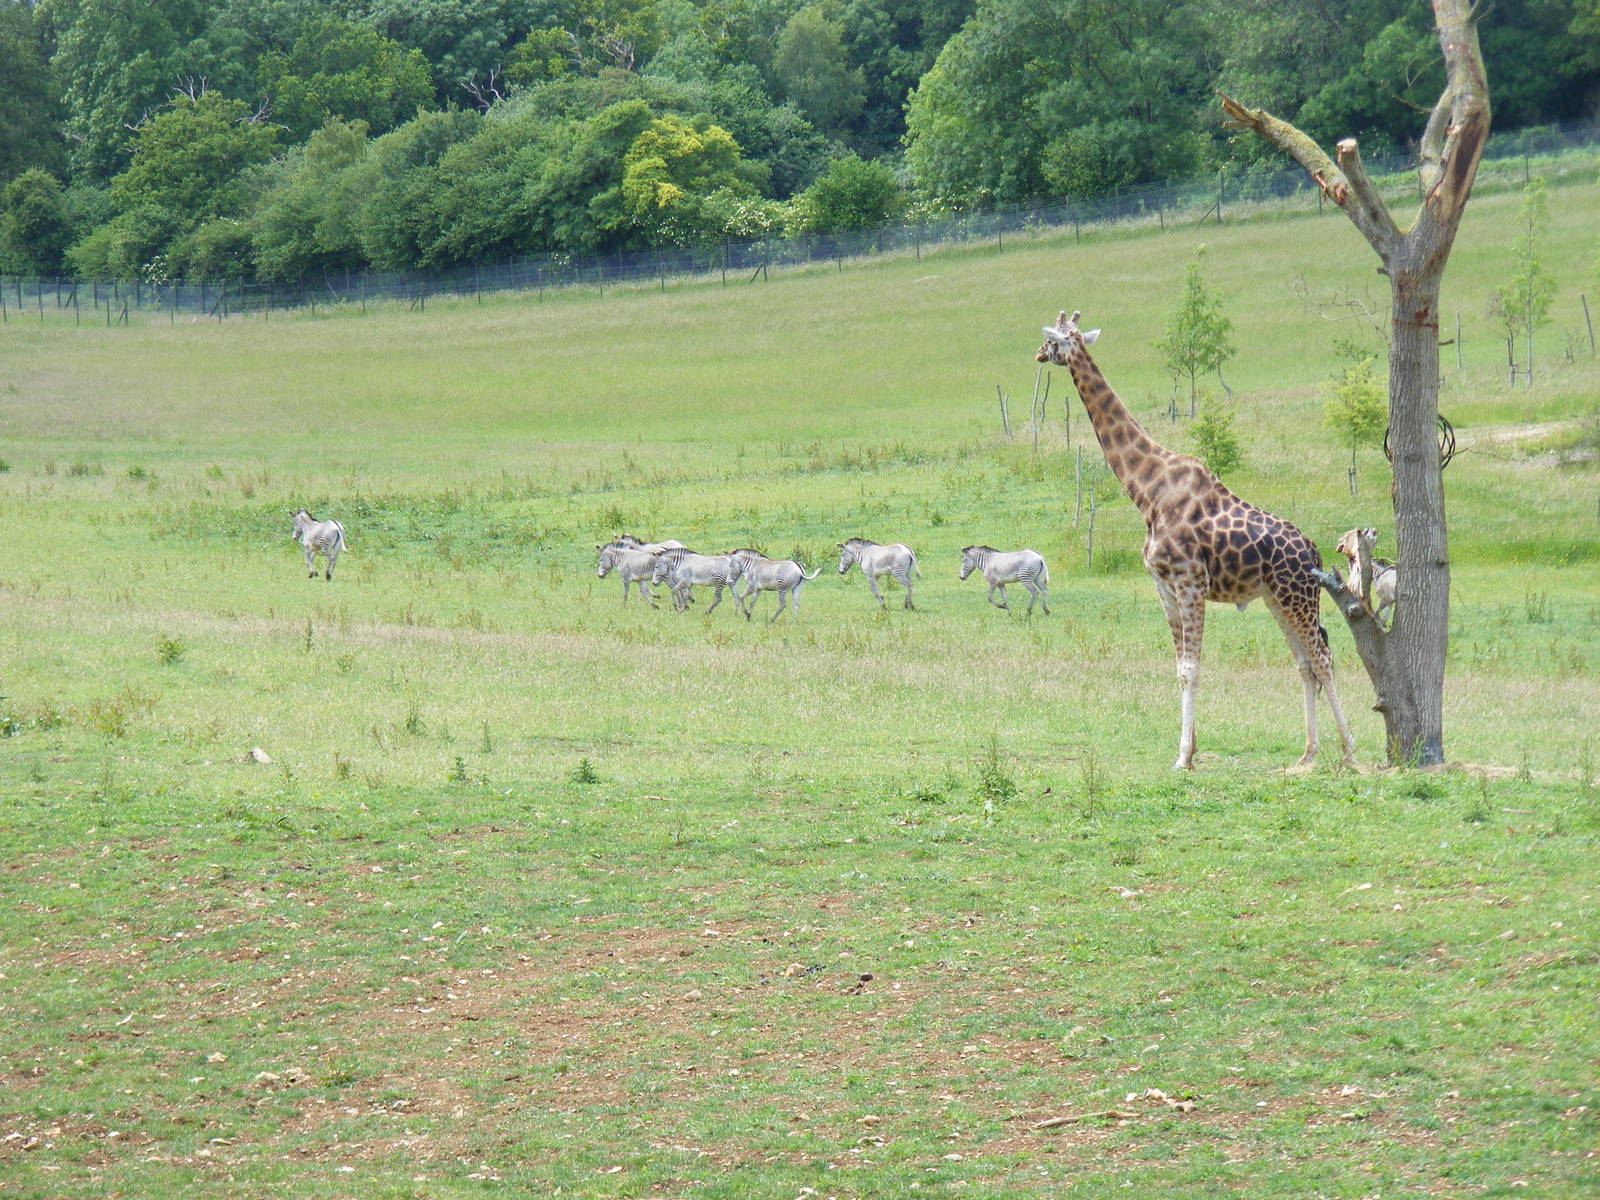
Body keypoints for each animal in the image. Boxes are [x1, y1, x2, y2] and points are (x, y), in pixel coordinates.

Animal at [1036, 310, 1356, 771]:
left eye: (1053, 340)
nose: (1038, 354)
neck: (1147, 490)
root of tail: (1313, 551)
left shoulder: (1190, 581)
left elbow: (1191, 668)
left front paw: (1183, 756)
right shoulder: (1164, 585)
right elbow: (1179, 667)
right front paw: (1190, 749)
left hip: (1297, 596)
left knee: (1323, 657)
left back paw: (1348, 751)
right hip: (1277, 597)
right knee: (1304, 662)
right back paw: (1307, 752)